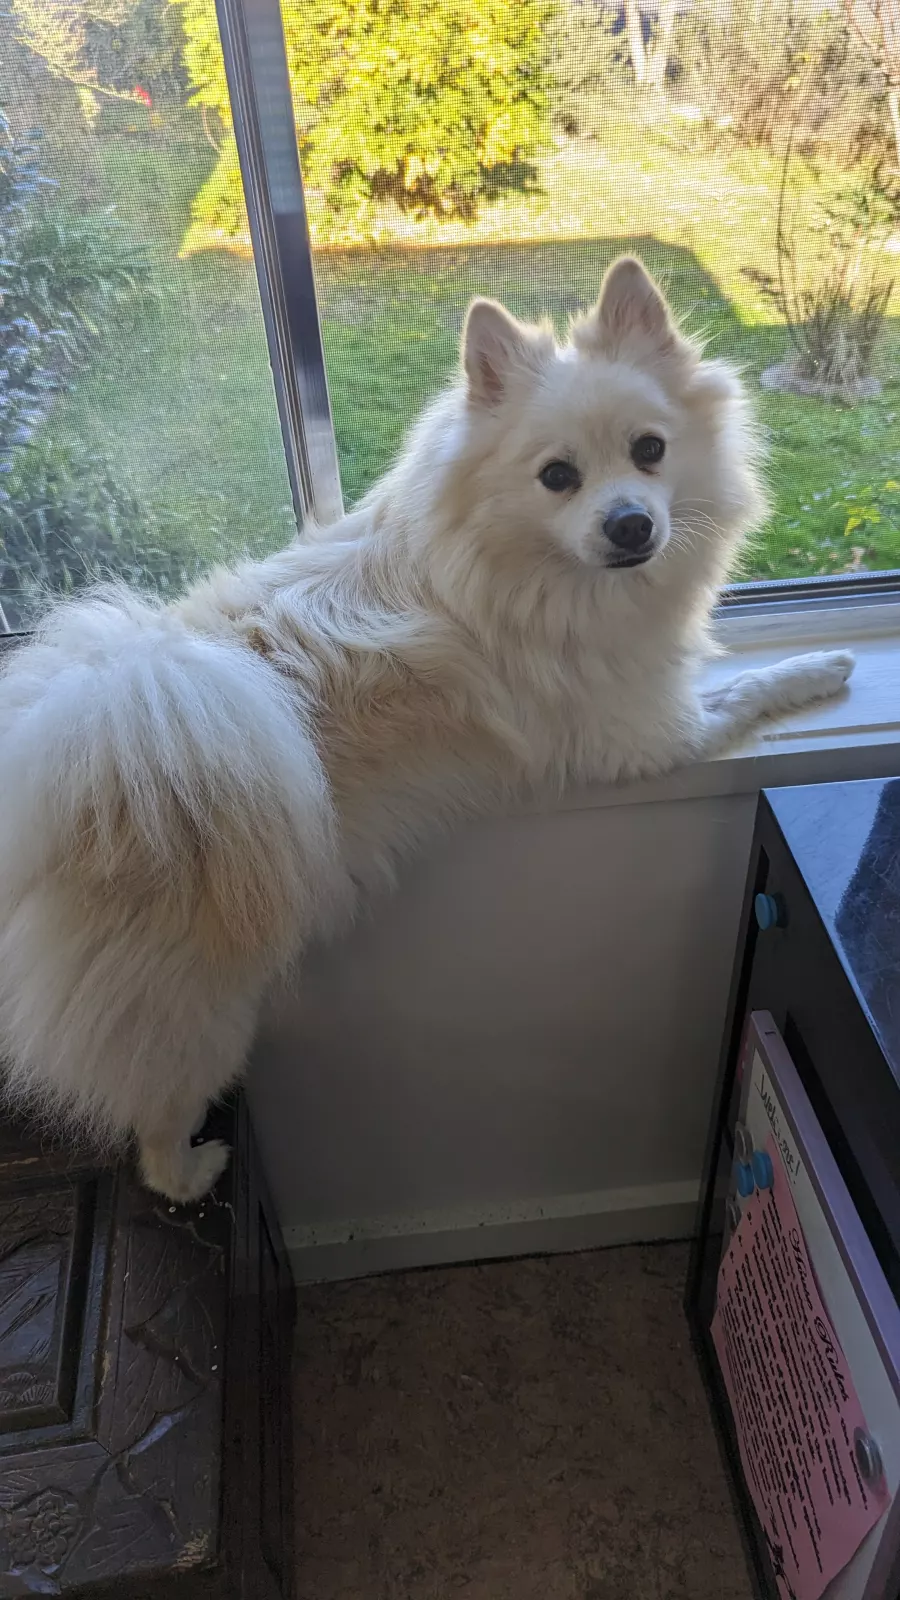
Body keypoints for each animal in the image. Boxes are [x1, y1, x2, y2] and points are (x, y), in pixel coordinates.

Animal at [0, 257, 853, 1202]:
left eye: (650, 451)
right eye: (558, 477)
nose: (631, 523)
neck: (541, 574)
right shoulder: (651, 733)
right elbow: (749, 687)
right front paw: (824, 667)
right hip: (206, 1010)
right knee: (155, 1117)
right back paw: (192, 1170)